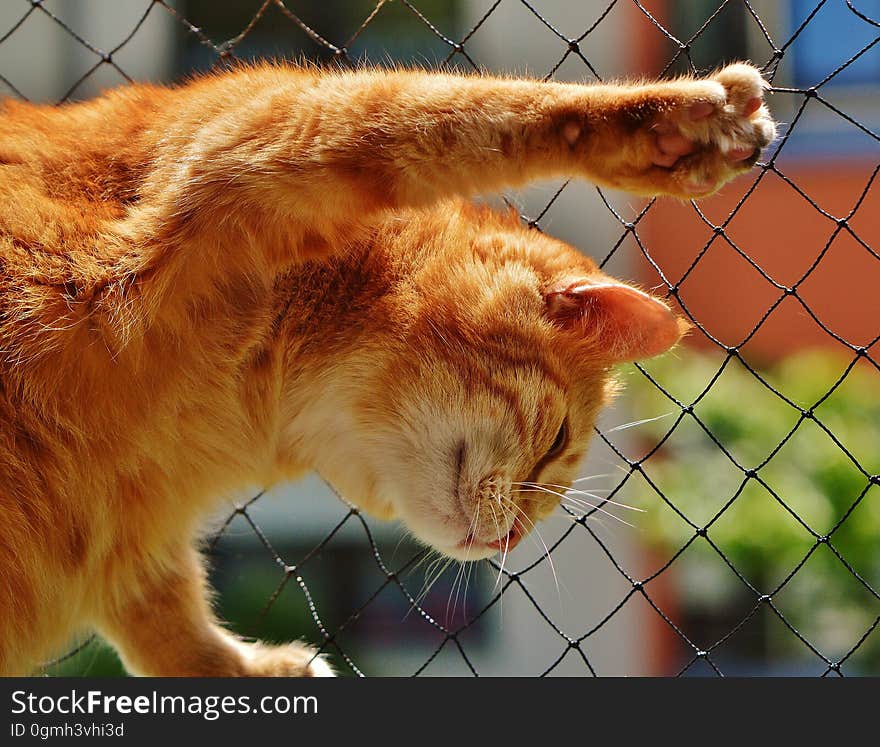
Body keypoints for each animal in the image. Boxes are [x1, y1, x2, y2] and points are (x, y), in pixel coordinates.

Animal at [0, 61, 768, 676]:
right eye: (555, 444)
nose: (514, 539)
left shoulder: (132, 544)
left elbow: (171, 627)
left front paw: (252, 672)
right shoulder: (284, 138)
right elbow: (464, 111)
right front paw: (675, 121)